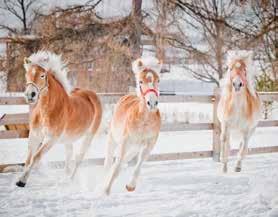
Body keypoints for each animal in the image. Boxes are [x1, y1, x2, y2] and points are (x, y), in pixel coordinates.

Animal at [16, 50, 102, 186]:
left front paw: (22, 181)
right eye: (27, 74)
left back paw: (71, 179)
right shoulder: (35, 135)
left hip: (89, 136)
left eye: (42, 75)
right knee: (69, 154)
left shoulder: (51, 139)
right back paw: (66, 177)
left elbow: (36, 157)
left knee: (79, 158)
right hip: (68, 139)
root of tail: (92, 95)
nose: (30, 95)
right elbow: (28, 159)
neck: (47, 110)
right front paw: (20, 179)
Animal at [102, 56, 162, 195]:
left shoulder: (148, 145)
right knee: (109, 162)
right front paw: (105, 190)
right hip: (113, 139)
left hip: (134, 149)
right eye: (140, 81)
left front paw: (130, 186)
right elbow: (117, 167)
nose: (152, 103)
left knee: (122, 161)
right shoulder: (125, 142)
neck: (144, 121)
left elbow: (138, 166)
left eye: (158, 80)